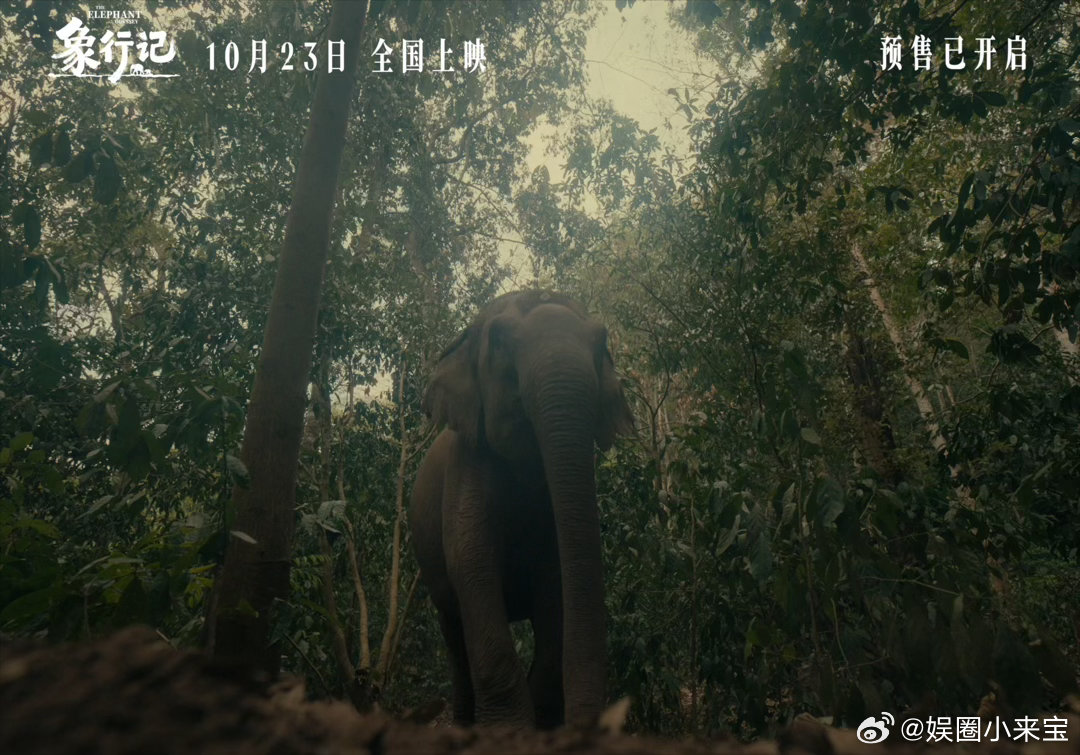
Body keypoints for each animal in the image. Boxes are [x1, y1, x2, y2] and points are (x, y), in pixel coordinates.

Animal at [409, 290, 634, 729]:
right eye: (498, 340)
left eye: (601, 341)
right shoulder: (468, 465)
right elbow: (471, 562)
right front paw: (508, 730)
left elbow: (557, 578)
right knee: (454, 634)